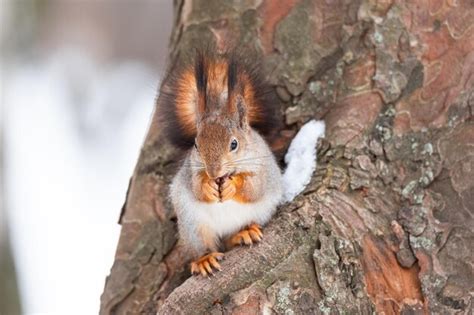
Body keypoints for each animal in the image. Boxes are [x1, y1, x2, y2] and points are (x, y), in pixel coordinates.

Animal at [157, 48, 284, 276]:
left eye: (234, 144)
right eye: (196, 145)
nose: (214, 172)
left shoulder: (262, 168)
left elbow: (253, 188)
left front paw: (233, 185)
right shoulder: (191, 172)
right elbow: (196, 188)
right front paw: (207, 187)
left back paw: (244, 233)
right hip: (194, 227)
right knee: (205, 246)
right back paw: (204, 259)